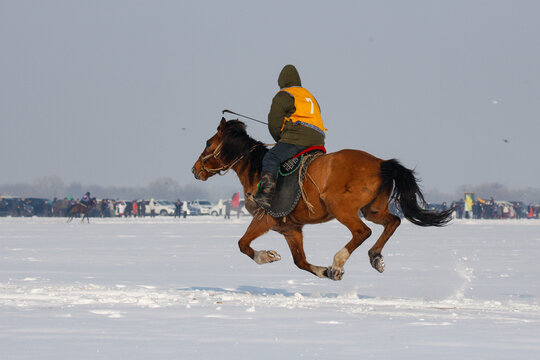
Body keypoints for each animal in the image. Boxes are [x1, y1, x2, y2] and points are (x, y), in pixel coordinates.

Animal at [190, 119, 452, 282]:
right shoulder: (290, 228)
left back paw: (338, 262)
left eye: (208, 143)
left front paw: (266, 256)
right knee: (393, 222)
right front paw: (323, 272)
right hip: (373, 210)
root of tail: (382, 164)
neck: (256, 169)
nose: (195, 169)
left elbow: (243, 244)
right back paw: (375, 257)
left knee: (362, 232)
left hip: (342, 208)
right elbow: (300, 261)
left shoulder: (265, 219)